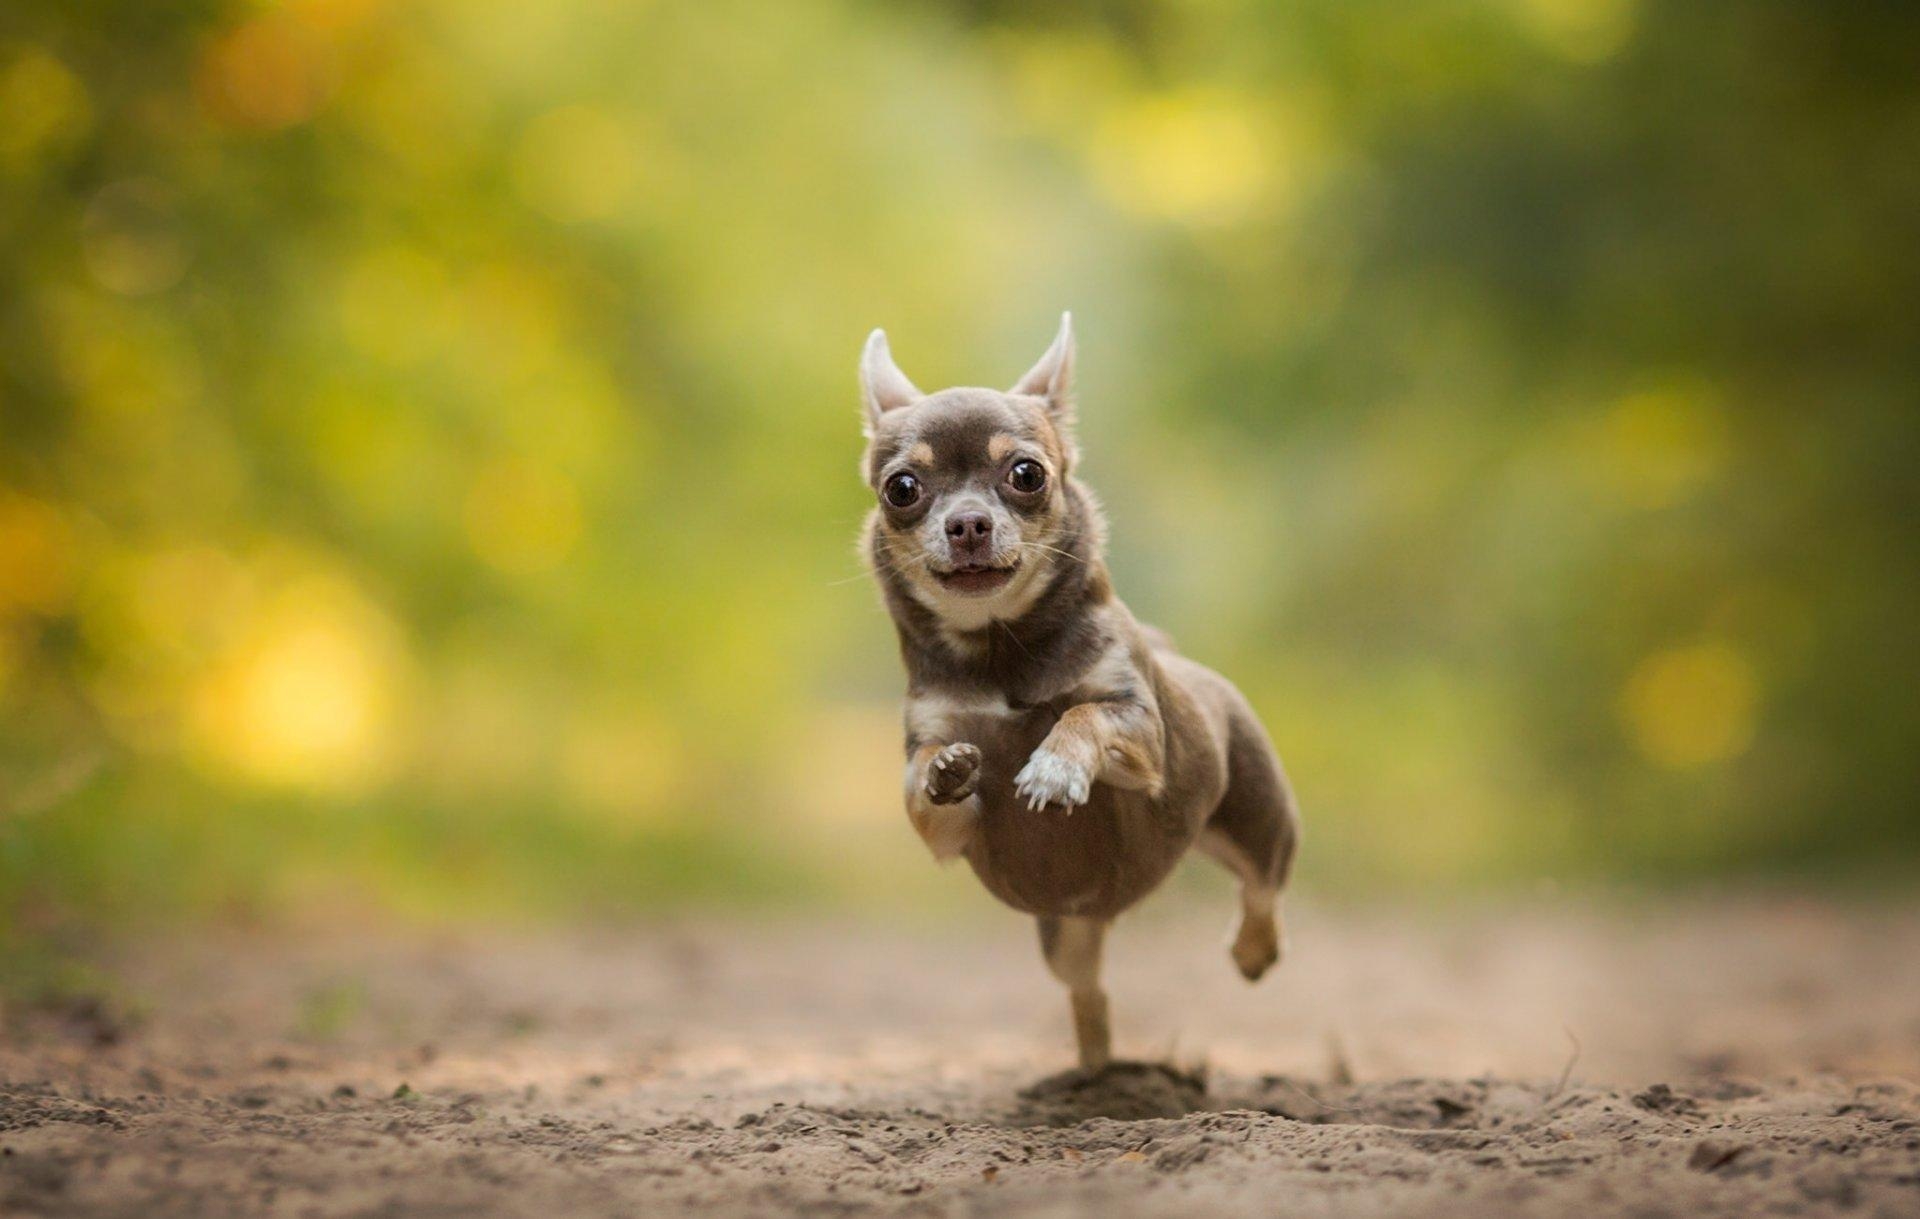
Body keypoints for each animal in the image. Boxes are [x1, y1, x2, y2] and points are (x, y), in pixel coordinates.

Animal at [860, 312, 1297, 1067]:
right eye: (902, 488)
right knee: (1088, 992)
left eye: (1026, 474)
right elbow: (925, 783)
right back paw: (1094, 1070)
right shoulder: (944, 827)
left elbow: (1085, 712)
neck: (1001, 648)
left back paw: (1251, 952)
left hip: (1257, 815)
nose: (967, 523)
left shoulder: (1141, 734)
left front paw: (1055, 767)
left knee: (1262, 888)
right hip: (1066, 930)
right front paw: (948, 770)